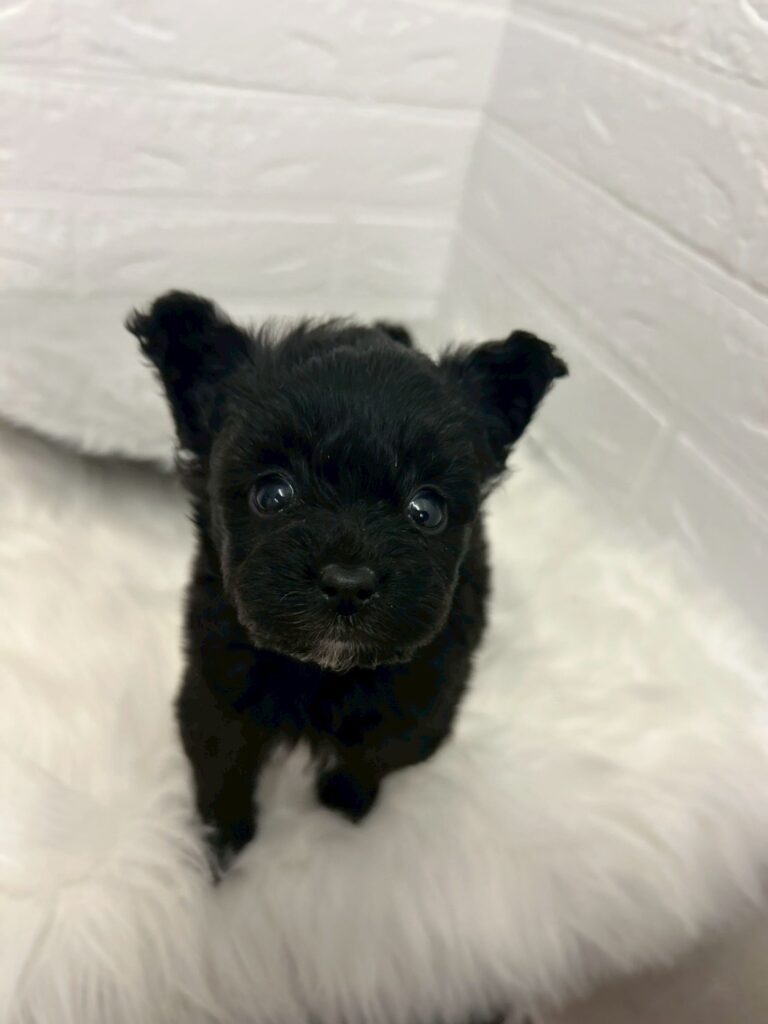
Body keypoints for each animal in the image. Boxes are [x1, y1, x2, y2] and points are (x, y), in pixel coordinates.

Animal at [127, 291, 567, 867]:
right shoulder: (217, 689)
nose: (348, 583)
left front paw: (342, 816)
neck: (326, 671)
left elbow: (371, 759)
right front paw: (221, 855)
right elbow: (223, 774)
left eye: (426, 510)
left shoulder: (421, 703)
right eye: (272, 494)